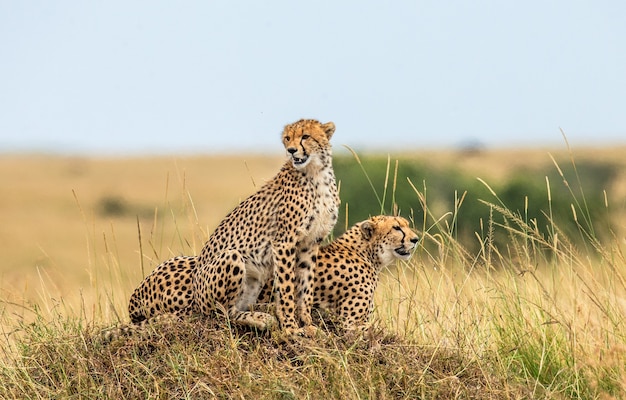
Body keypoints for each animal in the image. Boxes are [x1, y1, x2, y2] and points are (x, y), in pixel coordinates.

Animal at [125, 118, 336, 334]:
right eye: (287, 138)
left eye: (305, 136)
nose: (292, 150)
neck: (316, 173)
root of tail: (194, 302)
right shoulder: (284, 242)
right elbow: (286, 288)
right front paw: (291, 329)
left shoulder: (310, 242)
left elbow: (306, 287)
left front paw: (308, 324)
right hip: (231, 258)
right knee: (220, 314)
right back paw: (259, 319)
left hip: (254, 277)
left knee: (232, 310)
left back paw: (260, 317)